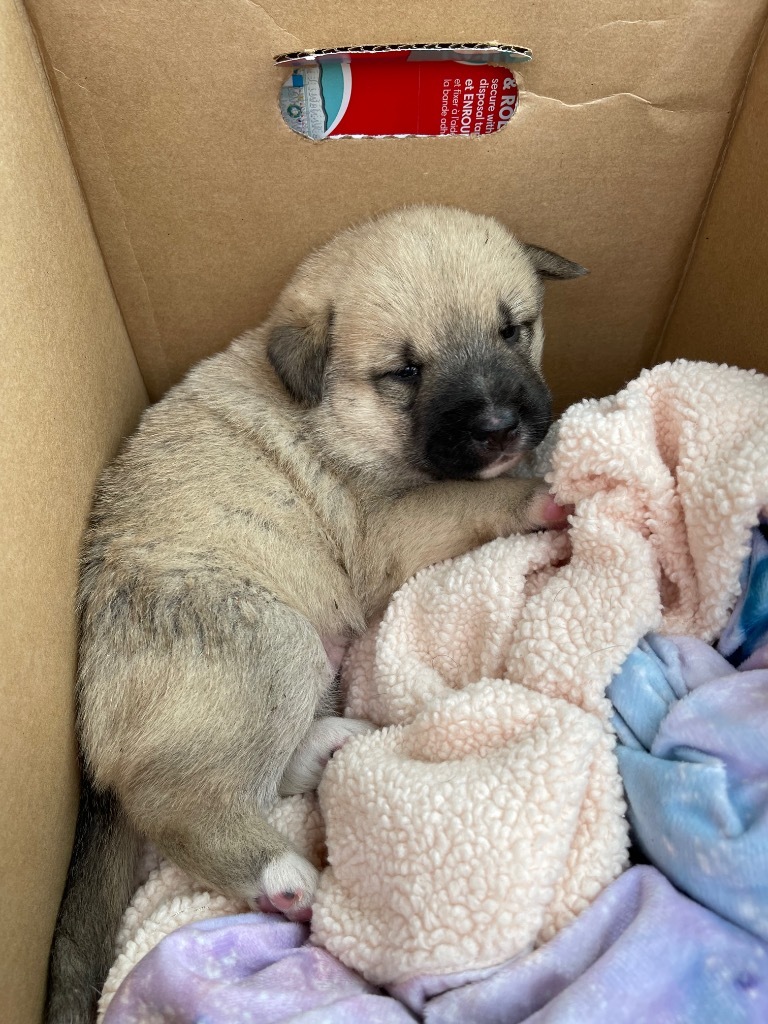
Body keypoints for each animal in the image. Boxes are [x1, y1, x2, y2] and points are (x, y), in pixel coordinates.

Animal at [46, 203, 589, 1019]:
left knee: (264, 774)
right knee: (180, 804)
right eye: (404, 371)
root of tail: (94, 751)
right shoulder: (388, 532)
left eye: (511, 329)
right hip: (272, 645)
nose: (499, 427)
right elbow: (477, 499)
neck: (335, 416)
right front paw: (543, 492)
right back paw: (281, 878)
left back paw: (333, 743)